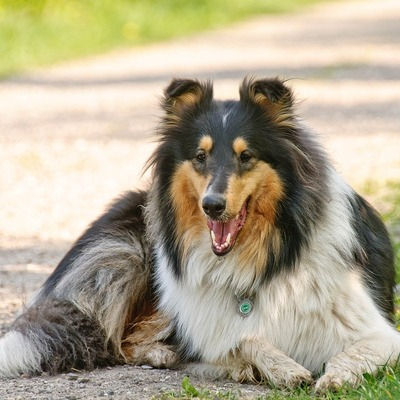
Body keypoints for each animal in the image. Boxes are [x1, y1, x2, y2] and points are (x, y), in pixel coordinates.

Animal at [0, 77, 400, 390]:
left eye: (246, 156)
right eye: (199, 156)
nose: (212, 205)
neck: (260, 261)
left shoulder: (379, 332)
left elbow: (352, 353)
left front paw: (333, 379)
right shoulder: (208, 328)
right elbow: (245, 338)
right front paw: (281, 368)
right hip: (132, 257)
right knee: (122, 340)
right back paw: (165, 353)